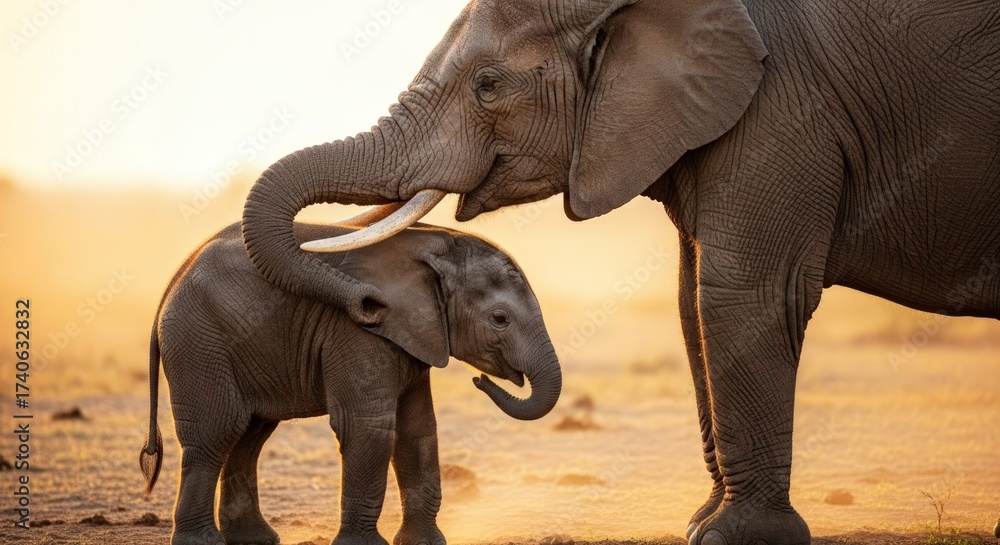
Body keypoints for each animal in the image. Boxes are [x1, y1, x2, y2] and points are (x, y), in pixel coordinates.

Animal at [139, 221, 561, 545]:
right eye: (500, 319)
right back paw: (202, 541)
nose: (479, 379)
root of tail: (168, 290)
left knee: (249, 436)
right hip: (199, 345)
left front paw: (425, 543)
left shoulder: (414, 334)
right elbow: (368, 426)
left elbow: (418, 431)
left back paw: (255, 539)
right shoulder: (360, 329)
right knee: (218, 432)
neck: (436, 243)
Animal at [239, 0, 1000, 543]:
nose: (367, 305)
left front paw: (733, 536)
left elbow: (742, 295)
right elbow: (692, 303)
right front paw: (702, 523)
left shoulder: (783, 105)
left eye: (487, 85)